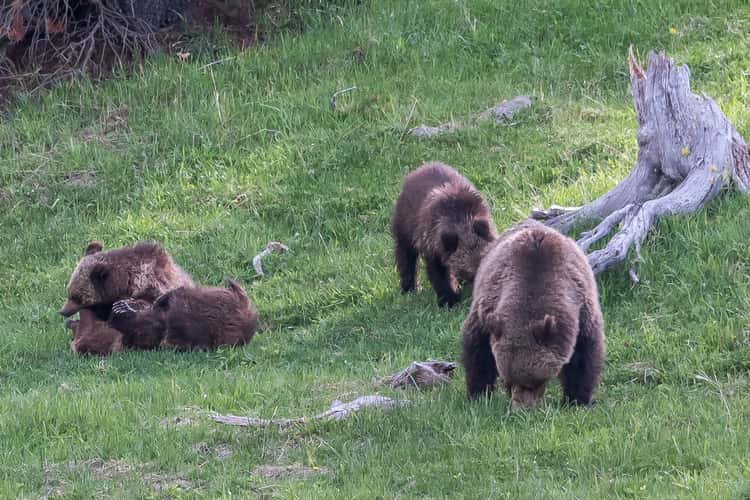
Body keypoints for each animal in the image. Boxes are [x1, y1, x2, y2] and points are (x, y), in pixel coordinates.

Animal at [391, 161, 497, 308]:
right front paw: (448, 299)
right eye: (471, 274)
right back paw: (409, 287)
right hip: (405, 227)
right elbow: (438, 274)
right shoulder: (433, 246)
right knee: (405, 256)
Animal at [461, 219, 605, 410]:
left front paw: (577, 400)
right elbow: (477, 349)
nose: (521, 409)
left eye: (533, 382)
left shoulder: (582, 310)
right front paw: (479, 394)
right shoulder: (487, 307)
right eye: (507, 382)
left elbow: (583, 357)